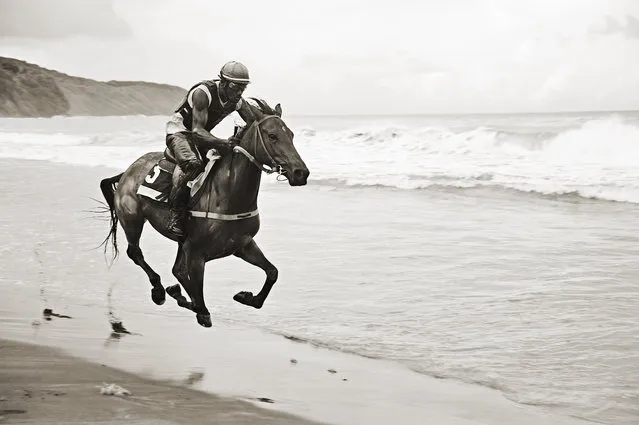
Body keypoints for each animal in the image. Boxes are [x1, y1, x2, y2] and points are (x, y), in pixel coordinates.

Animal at [99, 100, 310, 328]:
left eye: (291, 135)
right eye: (272, 136)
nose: (301, 173)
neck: (229, 196)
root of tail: (128, 171)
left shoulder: (241, 245)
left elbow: (272, 272)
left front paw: (247, 297)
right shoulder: (196, 252)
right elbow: (199, 304)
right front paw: (185, 300)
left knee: (174, 269)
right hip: (132, 219)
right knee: (135, 252)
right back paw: (158, 289)